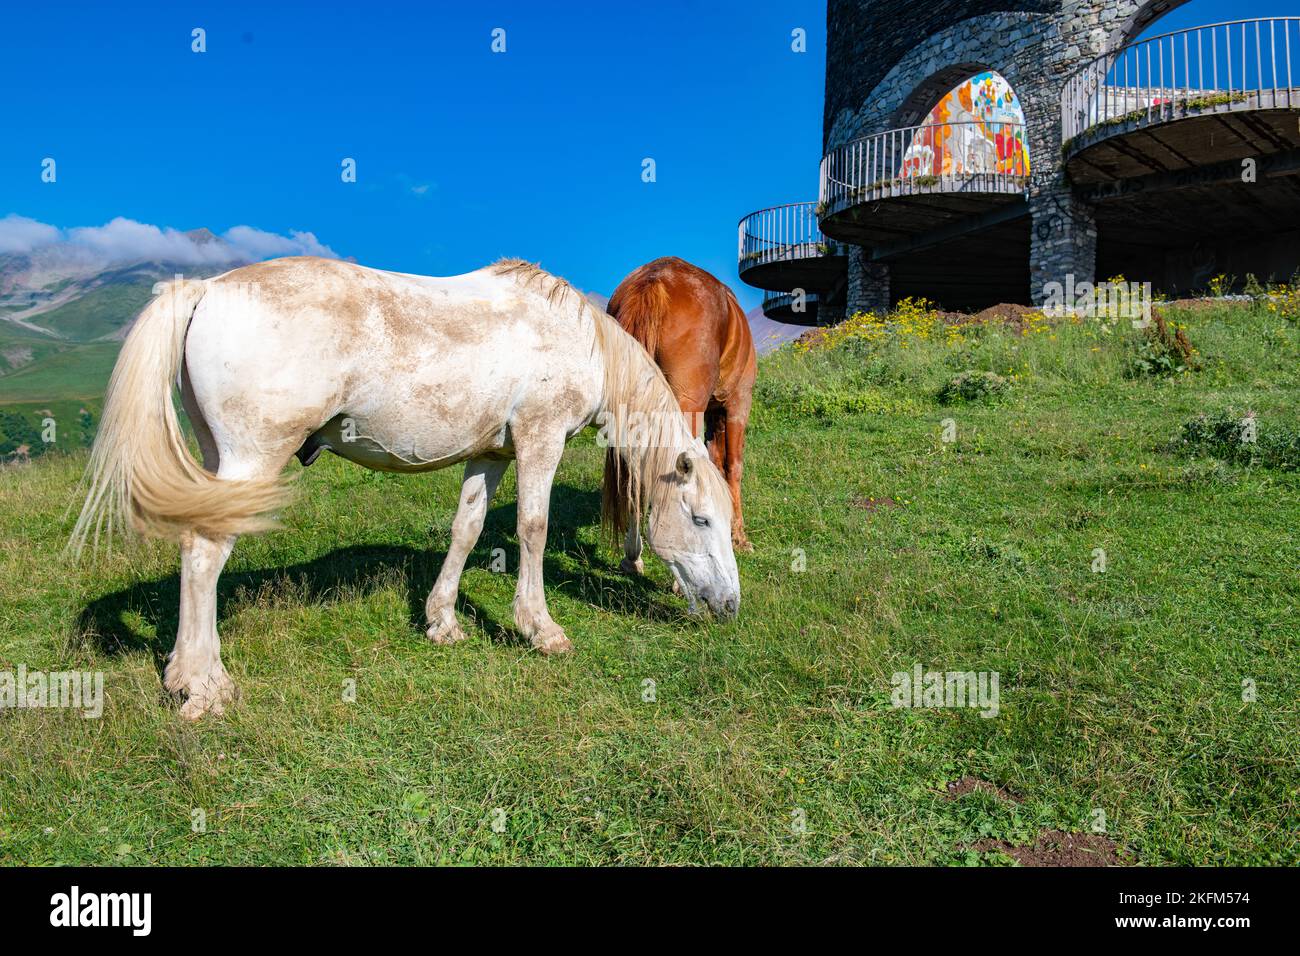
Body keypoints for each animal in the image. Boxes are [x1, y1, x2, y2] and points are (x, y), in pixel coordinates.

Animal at [70, 256, 739, 719]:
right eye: (701, 520)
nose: (730, 606)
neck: (575, 338)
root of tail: (206, 289)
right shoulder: (539, 441)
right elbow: (533, 529)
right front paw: (538, 628)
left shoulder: (490, 454)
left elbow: (467, 528)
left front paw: (442, 620)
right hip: (250, 460)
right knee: (205, 554)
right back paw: (207, 684)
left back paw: (183, 671)